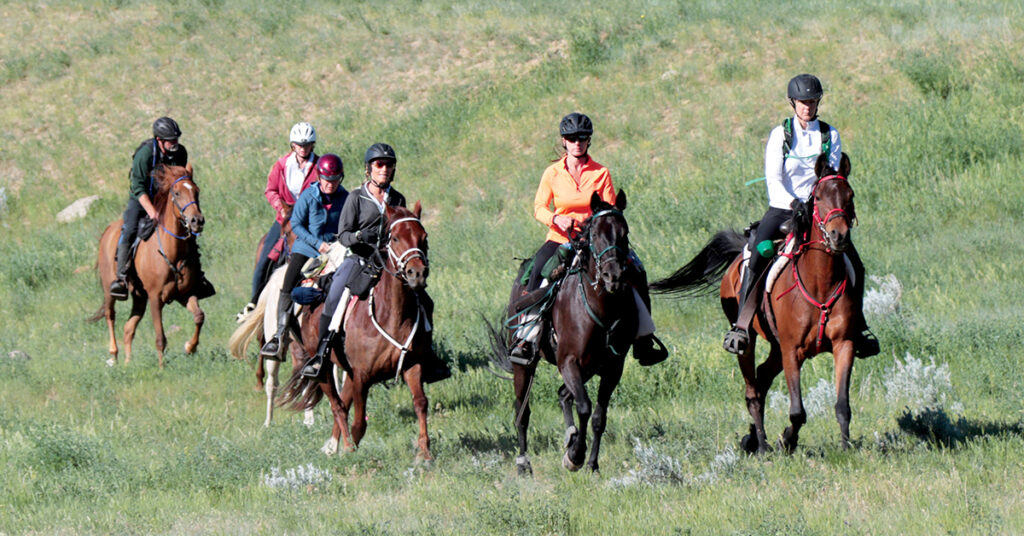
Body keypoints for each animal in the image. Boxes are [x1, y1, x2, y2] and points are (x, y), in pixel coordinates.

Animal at [95, 163, 206, 368]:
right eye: (177, 193)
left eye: (196, 191)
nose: (197, 220)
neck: (172, 252)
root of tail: (107, 231)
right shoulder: (155, 298)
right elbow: (160, 338)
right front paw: (162, 369)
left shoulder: (185, 294)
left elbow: (199, 316)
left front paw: (190, 347)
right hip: (109, 290)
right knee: (110, 315)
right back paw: (114, 356)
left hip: (139, 297)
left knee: (128, 327)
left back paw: (128, 363)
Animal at [278, 200, 438, 461]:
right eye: (394, 238)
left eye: (423, 237)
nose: (417, 273)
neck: (392, 313)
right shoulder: (363, 375)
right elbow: (359, 422)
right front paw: (351, 450)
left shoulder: (411, 365)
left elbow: (420, 403)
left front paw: (424, 453)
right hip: (324, 369)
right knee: (337, 406)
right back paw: (342, 447)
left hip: (349, 373)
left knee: (343, 403)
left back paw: (333, 445)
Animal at [489, 190, 638, 475]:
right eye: (595, 234)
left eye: (624, 233)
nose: (612, 276)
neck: (599, 307)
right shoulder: (568, 361)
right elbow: (585, 407)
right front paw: (575, 457)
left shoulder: (612, 368)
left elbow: (599, 417)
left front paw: (591, 464)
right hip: (525, 364)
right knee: (522, 412)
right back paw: (524, 464)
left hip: (589, 367)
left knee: (562, 394)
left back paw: (570, 436)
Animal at [651, 152, 860, 455]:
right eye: (819, 196)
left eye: (850, 196)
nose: (838, 235)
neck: (820, 283)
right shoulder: (791, 350)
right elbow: (797, 411)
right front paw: (786, 440)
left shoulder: (844, 344)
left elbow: (842, 405)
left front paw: (845, 448)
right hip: (748, 341)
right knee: (753, 391)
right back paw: (760, 445)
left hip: (775, 346)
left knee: (762, 379)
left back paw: (752, 438)